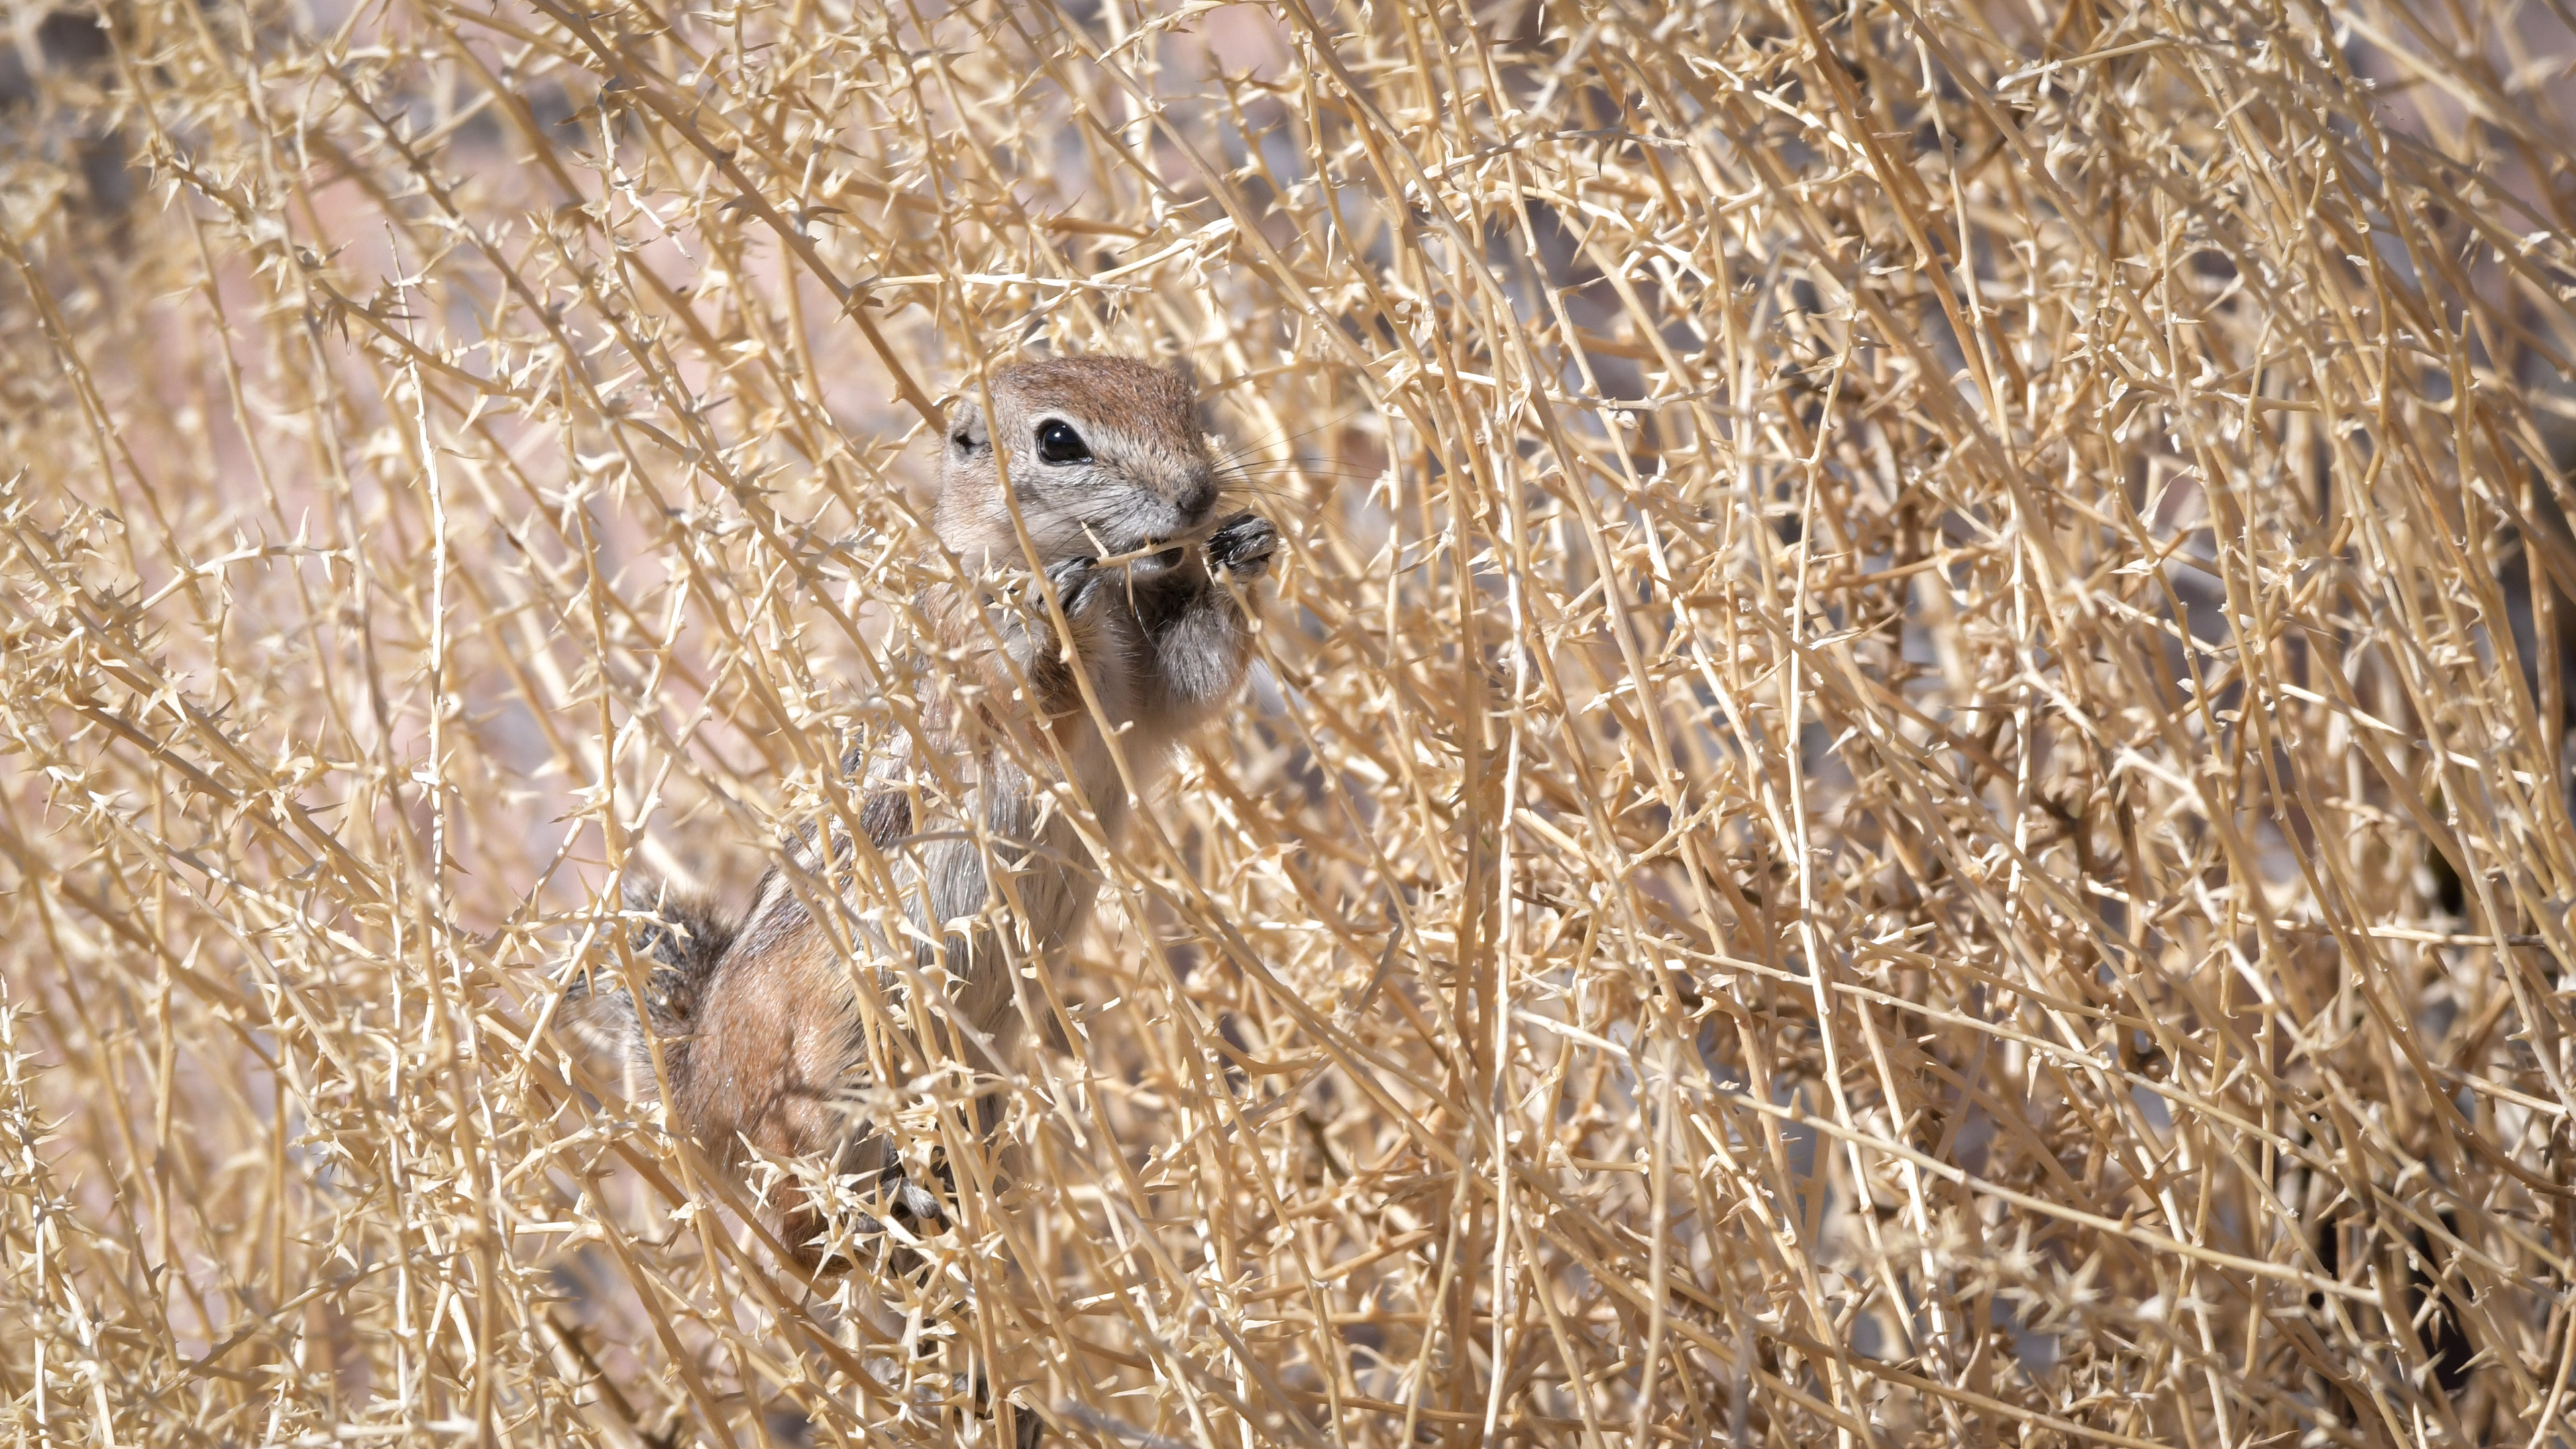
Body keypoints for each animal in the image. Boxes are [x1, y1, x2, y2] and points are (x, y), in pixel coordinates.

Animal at [561, 355, 1276, 1273]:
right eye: (1058, 441)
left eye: (1181, 396)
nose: (1199, 495)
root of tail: (697, 1094)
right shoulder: (979, 672)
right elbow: (1035, 700)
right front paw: (1056, 616)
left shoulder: (1149, 698)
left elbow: (1195, 681)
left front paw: (1243, 551)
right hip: (831, 1068)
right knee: (798, 1221)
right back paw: (867, 1219)